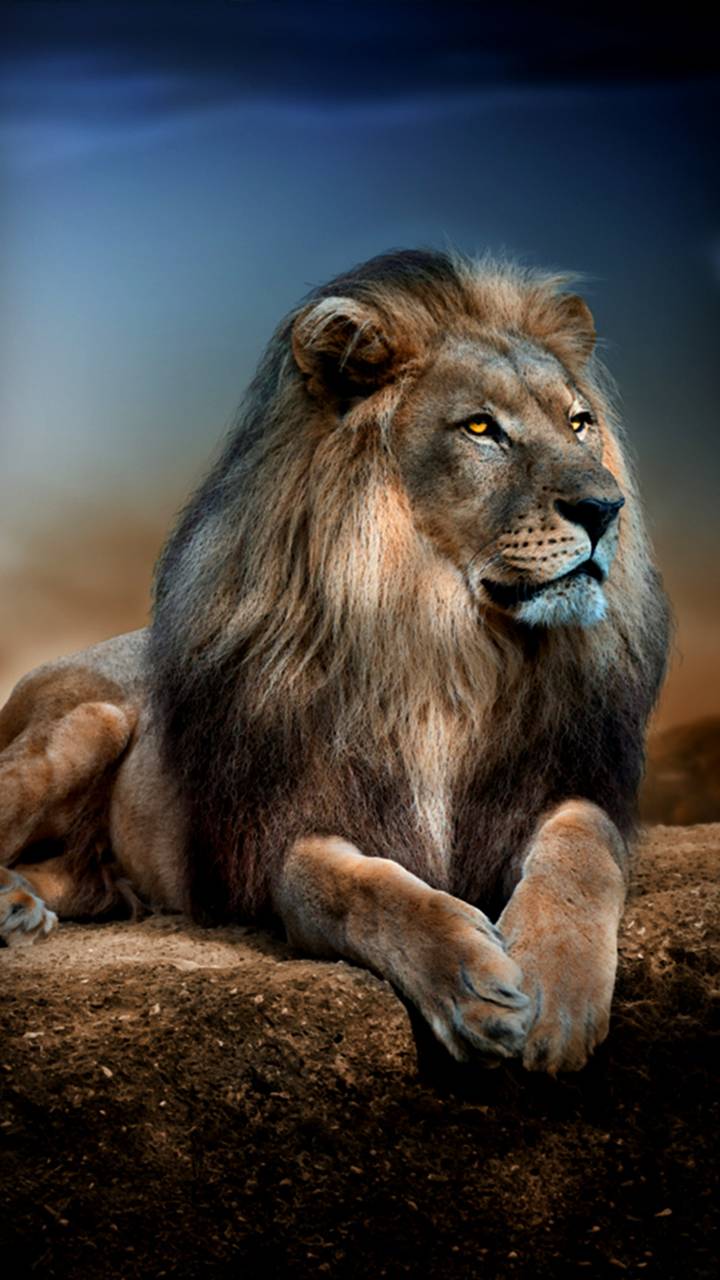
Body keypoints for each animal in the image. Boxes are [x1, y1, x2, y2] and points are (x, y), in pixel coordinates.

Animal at [0, 248, 670, 1073]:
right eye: (482, 428)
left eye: (580, 423)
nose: (606, 509)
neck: (447, 648)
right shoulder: (287, 831)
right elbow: (358, 889)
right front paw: (472, 984)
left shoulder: (564, 781)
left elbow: (583, 849)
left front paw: (557, 993)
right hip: (88, 720)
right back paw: (11, 904)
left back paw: (25, 904)